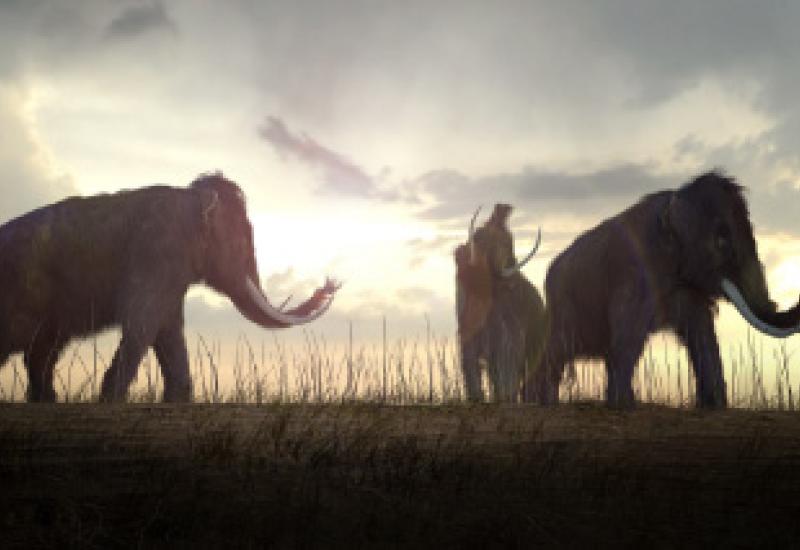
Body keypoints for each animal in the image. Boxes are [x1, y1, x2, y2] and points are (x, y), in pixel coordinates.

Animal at [0, 175, 338, 404]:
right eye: (244, 239)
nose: (329, 285)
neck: (189, 196)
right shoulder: (157, 255)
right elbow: (143, 324)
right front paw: (111, 399)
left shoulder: (172, 275)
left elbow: (169, 329)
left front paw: (178, 399)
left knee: (42, 351)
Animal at [460, 205, 548, 404]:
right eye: (478, 235)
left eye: (509, 244)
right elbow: (472, 367)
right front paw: (476, 399)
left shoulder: (508, 341)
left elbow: (506, 372)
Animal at [528, 172, 800, 410]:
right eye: (721, 240)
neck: (675, 198)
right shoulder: (635, 272)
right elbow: (630, 335)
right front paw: (624, 406)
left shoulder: (688, 287)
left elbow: (702, 333)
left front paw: (715, 406)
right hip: (562, 305)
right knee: (557, 349)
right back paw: (540, 402)